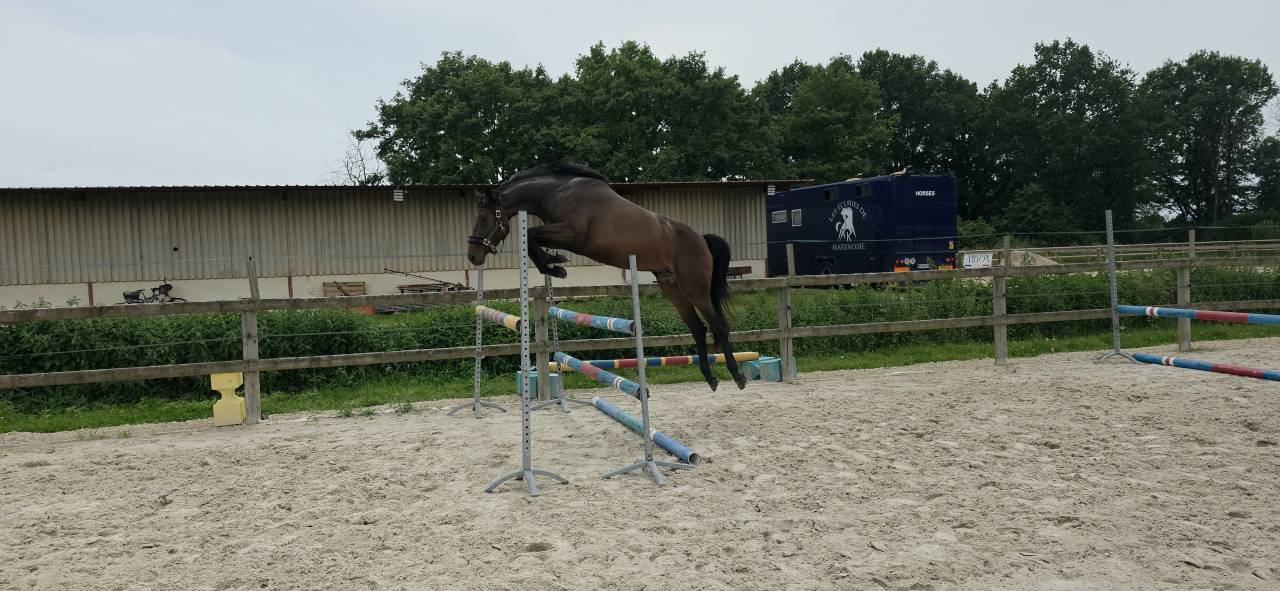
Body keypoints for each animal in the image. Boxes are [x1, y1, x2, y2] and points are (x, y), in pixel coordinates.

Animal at [466, 162, 748, 391]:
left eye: (483, 218)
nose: (472, 256)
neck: (559, 192)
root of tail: (701, 239)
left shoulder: (572, 234)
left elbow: (531, 235)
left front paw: (555, 264)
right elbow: (531, 239)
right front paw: (554, 265)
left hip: (695, 288)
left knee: (718, 325)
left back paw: (737, 376)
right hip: (672, 288)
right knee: (698, 328)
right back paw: (710, 378)